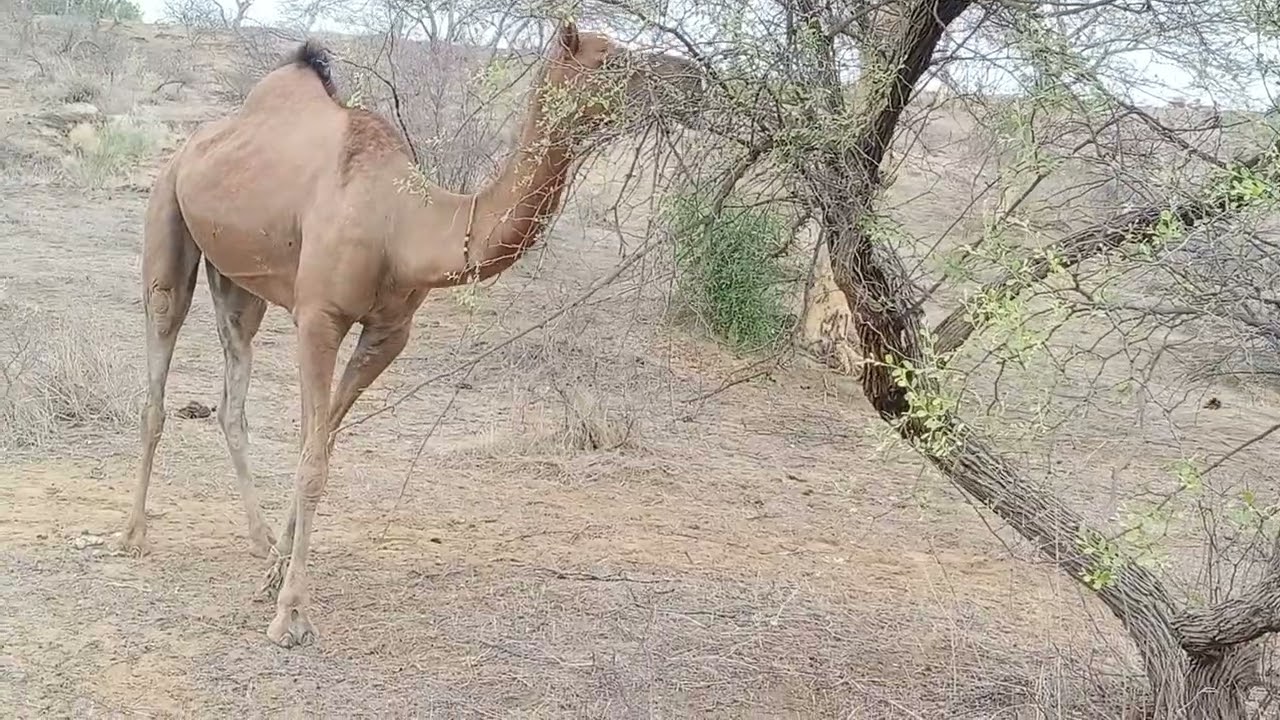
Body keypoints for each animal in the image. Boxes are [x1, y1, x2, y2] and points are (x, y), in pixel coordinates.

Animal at [115, 21, 630, 648]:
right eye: (612, 61)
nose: (690, 80)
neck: (402, 224)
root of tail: (194, 143)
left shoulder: (388, 333)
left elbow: (321, 447)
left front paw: (275, 574)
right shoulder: (319, 317)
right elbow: (312, 462)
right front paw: (291, 615)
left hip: (240, 283)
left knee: (232, 400)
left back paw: (259, 538)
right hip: (168, 215)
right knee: (158, 369)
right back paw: (132, 534)